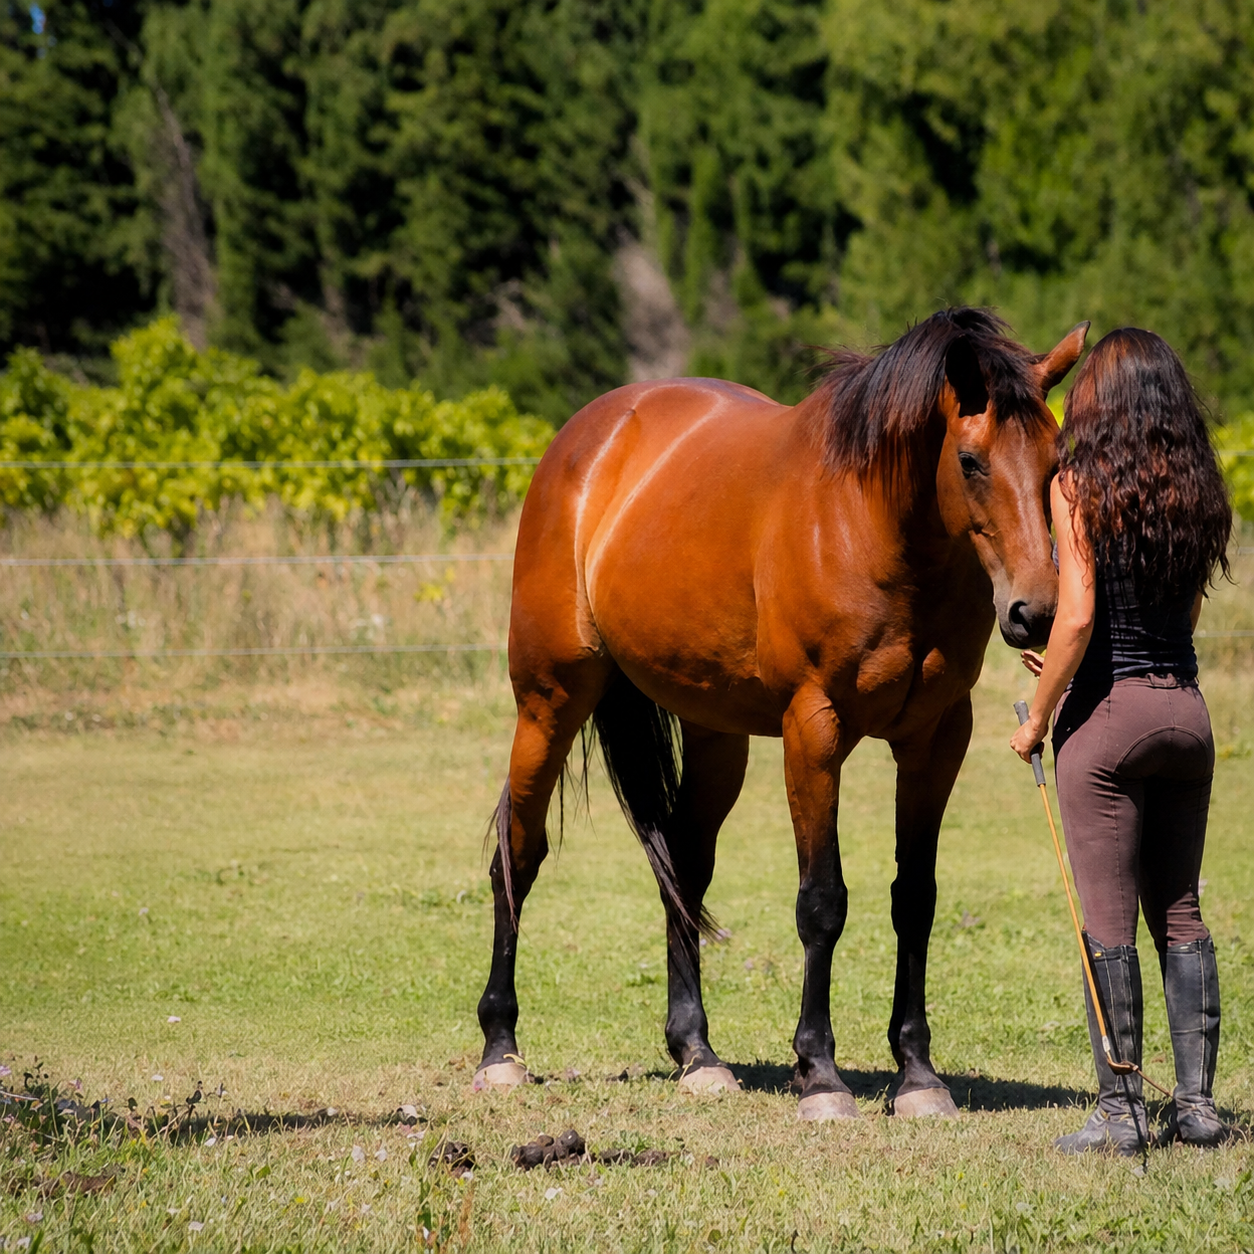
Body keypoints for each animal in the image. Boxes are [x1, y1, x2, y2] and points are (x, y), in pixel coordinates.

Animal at [473, 307, 1088, 1120]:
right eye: (971, 461)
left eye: (1054, 462)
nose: (1036, 614)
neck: (871, 526)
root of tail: (588, 437)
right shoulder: (814, 729)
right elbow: (822, 901)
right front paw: (819, 1072)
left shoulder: (935, 738)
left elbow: (915, 899)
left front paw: (918, 1074)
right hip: (550, 702)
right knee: (518, 855)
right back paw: (500, 1048)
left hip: (714, 733)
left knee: (684, 868)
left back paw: (698, 1055)